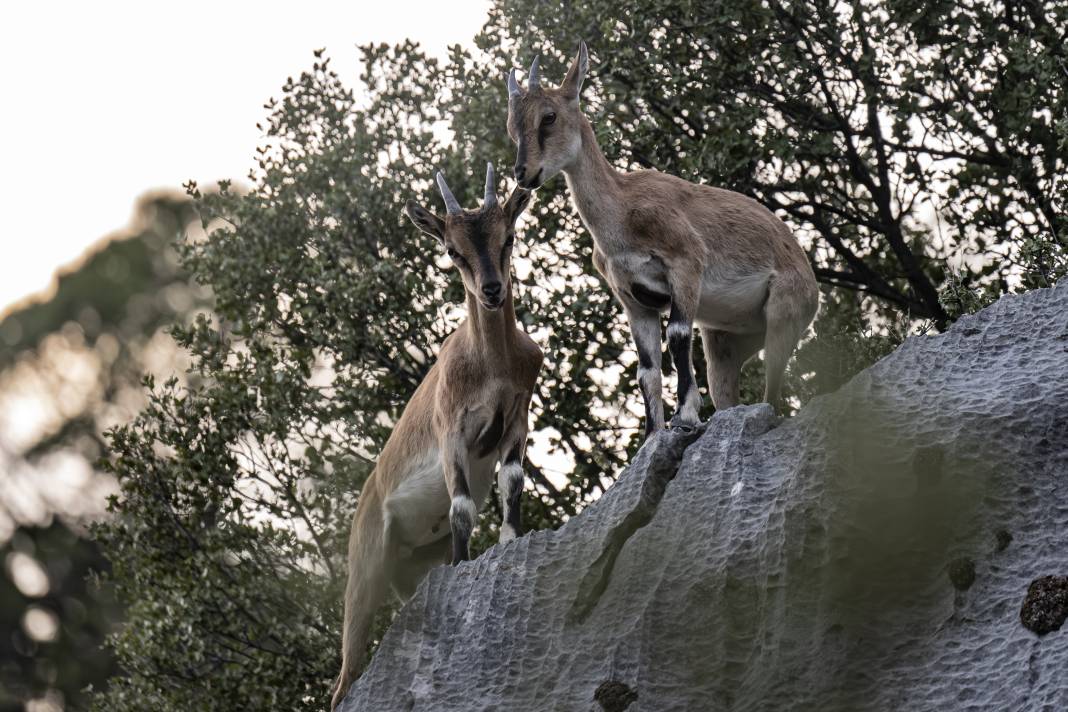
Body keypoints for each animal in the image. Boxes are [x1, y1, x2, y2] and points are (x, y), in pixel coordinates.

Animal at [328, 164, 542, 708]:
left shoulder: (518, 418)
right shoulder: (452, 434)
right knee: (343, 678)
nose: (492, 290)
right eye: (451, 249)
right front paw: (464, 568)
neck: (490, 362)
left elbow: (512, 481)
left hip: (409, 570)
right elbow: (462, 506)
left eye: (508, 236)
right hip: (365, 574)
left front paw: (511, 540)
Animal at [504, 44, 820, 439]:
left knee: (773, 389)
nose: (524, 173)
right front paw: (652, 435)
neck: (622, 212)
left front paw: (685, 416)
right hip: (724, 340)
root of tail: (812, 284)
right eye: (512, 126)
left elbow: (679, 334)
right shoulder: (632, 298)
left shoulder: (686, 265)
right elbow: (647, 369)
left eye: (549, 116)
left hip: (784, 315)